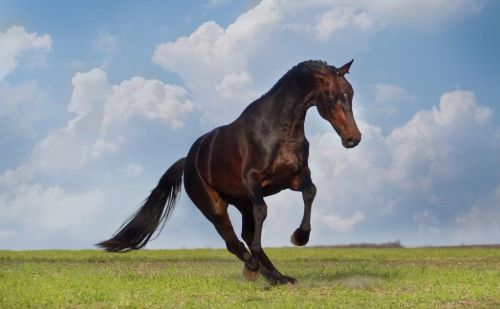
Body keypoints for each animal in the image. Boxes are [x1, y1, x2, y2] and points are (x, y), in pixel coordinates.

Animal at [97, 59, 362, 284]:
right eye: (331, 97)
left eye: (350, 94)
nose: (353, 138)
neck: (279, 130)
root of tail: (188, 161)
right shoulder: (253, 182)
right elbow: (262, 211)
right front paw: (259, 263)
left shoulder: (296, 177)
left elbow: (310, 193)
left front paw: (300, 236)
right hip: (215, 207)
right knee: (234, 242)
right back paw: (256, 270)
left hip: (241, 202)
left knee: (246, 235)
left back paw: (278, 277)